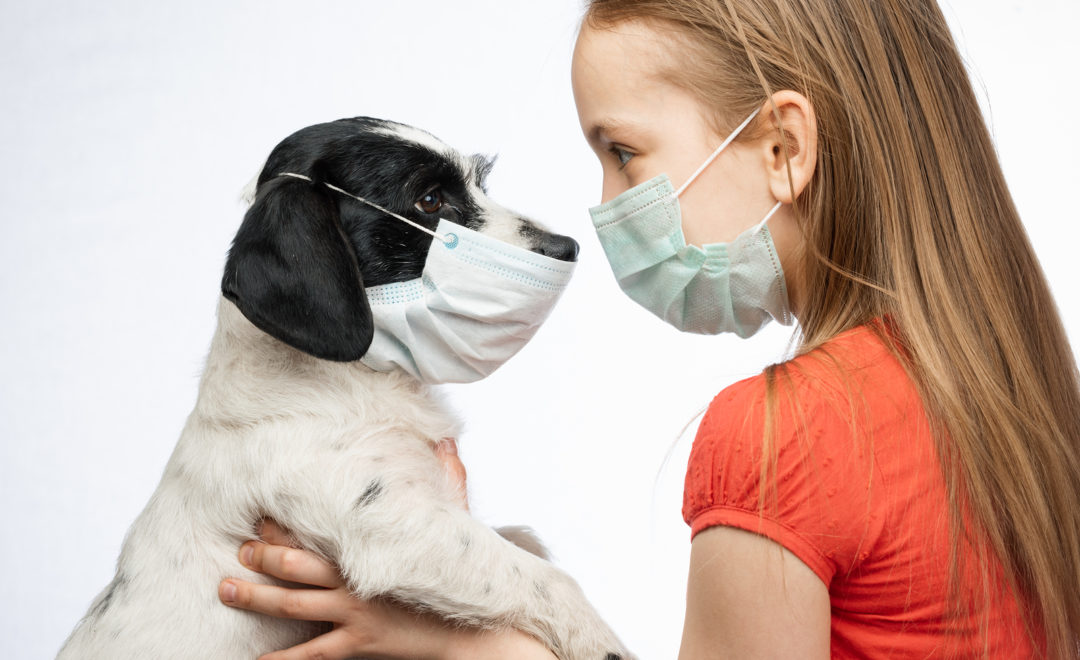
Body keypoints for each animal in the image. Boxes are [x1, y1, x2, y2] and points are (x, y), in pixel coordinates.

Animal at [56, 118, 630, 660]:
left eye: (479, 184)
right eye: (430, 200)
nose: (568, 247)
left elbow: (522, 543)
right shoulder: (394, 524)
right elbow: (541, 578)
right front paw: (602, 642)